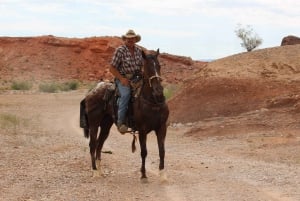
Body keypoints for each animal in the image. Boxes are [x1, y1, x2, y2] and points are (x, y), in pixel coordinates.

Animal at [80, 49, 169, 181]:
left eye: (159, 66)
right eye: (147, 68)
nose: (158, 90)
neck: (153, 102)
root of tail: (90, 92)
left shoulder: (162, 128)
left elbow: (162, 151)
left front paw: (163, 175)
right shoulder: (142, 130)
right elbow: (144, 152)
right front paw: (143, 175)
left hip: (106, 125)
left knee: (99, 144)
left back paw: (100, 171)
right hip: (94, 124)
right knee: (93, 145)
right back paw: (95, 171)